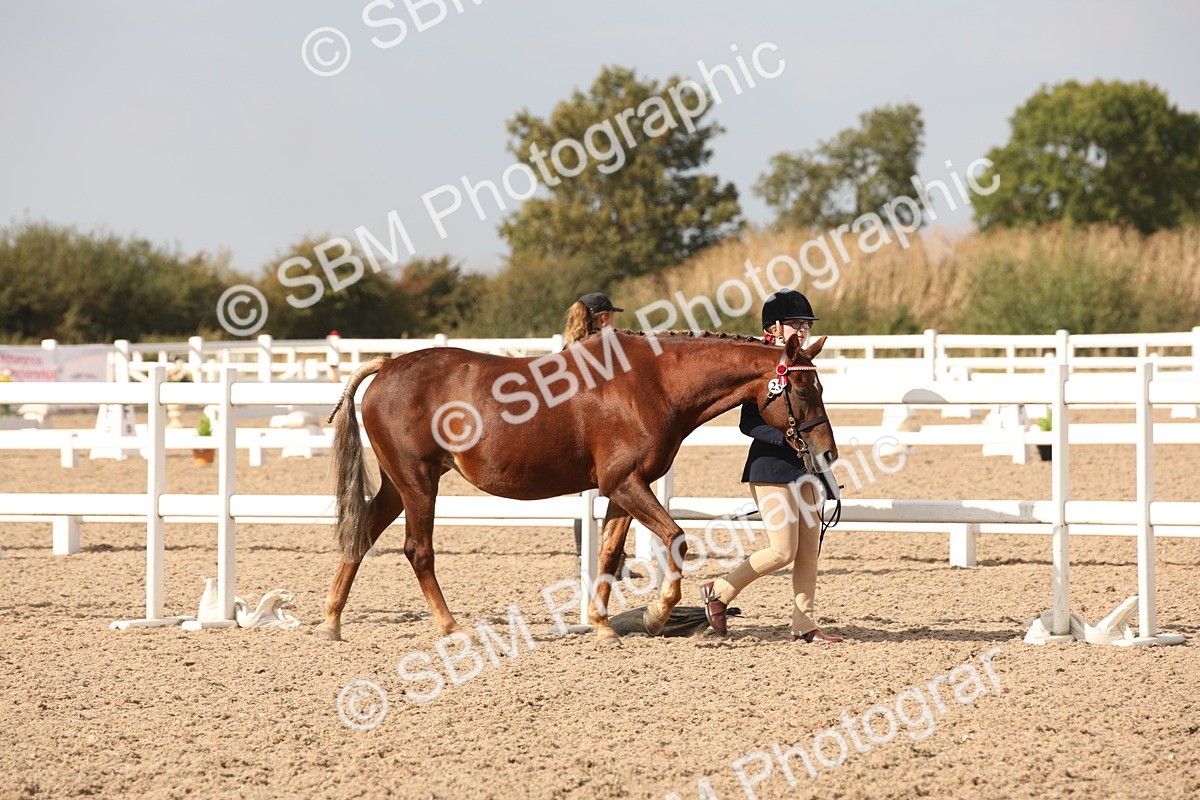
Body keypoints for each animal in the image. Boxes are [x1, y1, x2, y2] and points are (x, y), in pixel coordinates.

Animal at [316, 328, 837, 642]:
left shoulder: (624, 490)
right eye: (802, 390)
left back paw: (332, 622)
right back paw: (449, 626)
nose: (827, 453)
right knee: (417, 550)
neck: (651, 384)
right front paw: (657, 614)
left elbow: (607, 554)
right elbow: (675, 539)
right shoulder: (625, 484)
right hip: (419, 483)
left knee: (361, 536)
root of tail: (386, 367)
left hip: (397, 484)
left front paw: (605, 626)